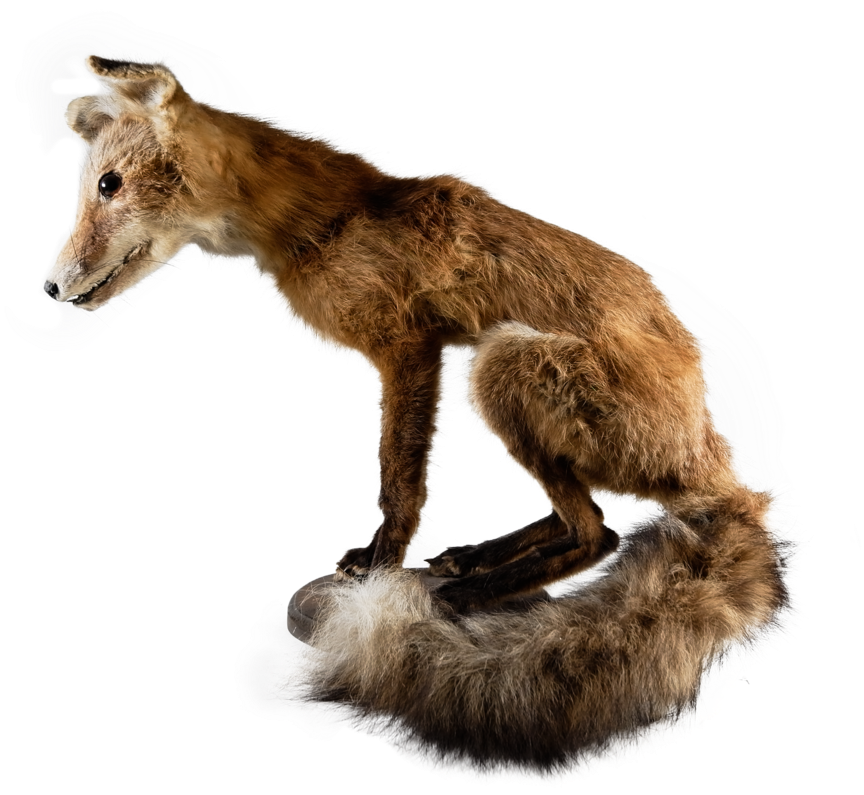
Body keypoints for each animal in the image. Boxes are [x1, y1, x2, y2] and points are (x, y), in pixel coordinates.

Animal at [45, 56, 791, 772]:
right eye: (84, 188)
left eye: (109, 185)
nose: (48, 288)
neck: (325, 222)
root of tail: (719, 470)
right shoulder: (418, 353)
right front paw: (392, 562)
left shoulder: (409, 347)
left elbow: (395, 476)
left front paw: (381, 562)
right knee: (578, 518)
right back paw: (472, 560)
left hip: (500, 364)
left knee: (597, 535)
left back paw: (471, 596)